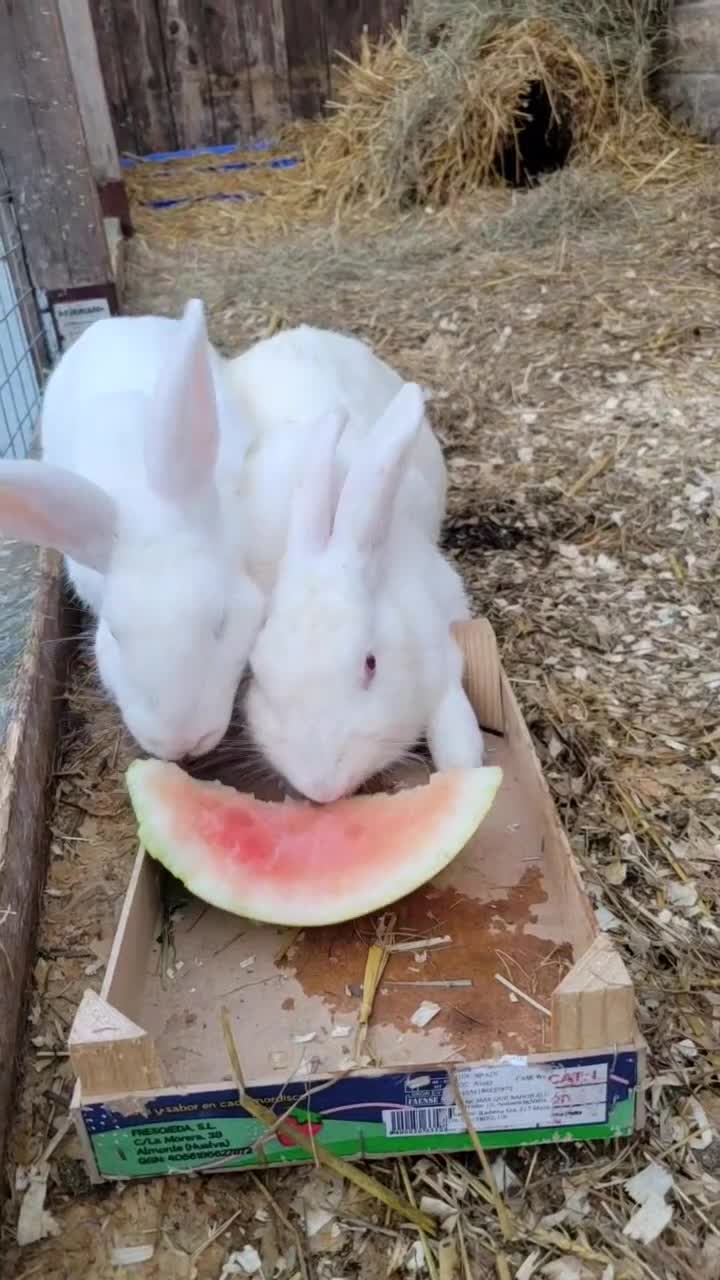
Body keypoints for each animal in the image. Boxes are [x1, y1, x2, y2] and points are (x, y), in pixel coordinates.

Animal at [243, 376, 485, 804]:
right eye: (255, 672)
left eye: (371, 664)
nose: (321, 787)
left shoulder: (445, 652)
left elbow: (454, 726)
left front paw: (464, 768)